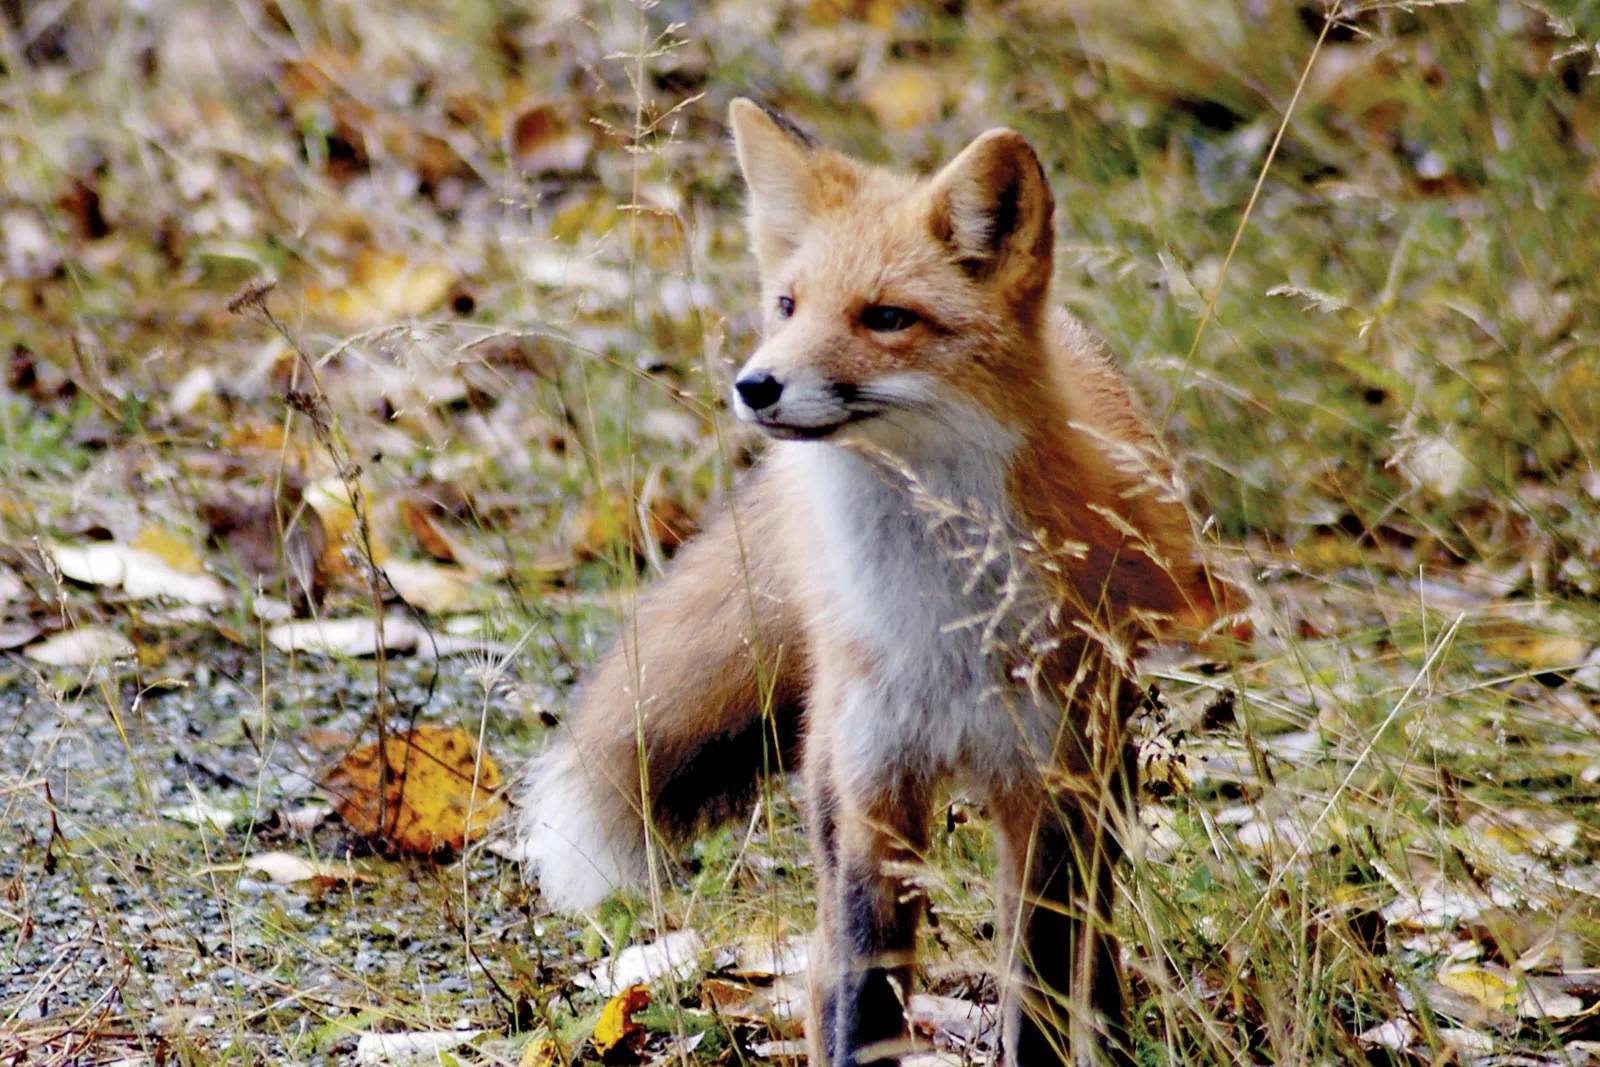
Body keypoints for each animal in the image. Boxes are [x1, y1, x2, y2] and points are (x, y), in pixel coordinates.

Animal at [517, 99, 1233, 1067]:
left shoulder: (1045, 793)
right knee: (824, 972)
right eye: (787, 304)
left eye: (887, 317)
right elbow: (862, 999)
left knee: (1097, 941)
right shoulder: (873, 795)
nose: (755, 384)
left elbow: (1043, 990)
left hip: (1099, 774)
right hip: (832, 777)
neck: (938, 618)